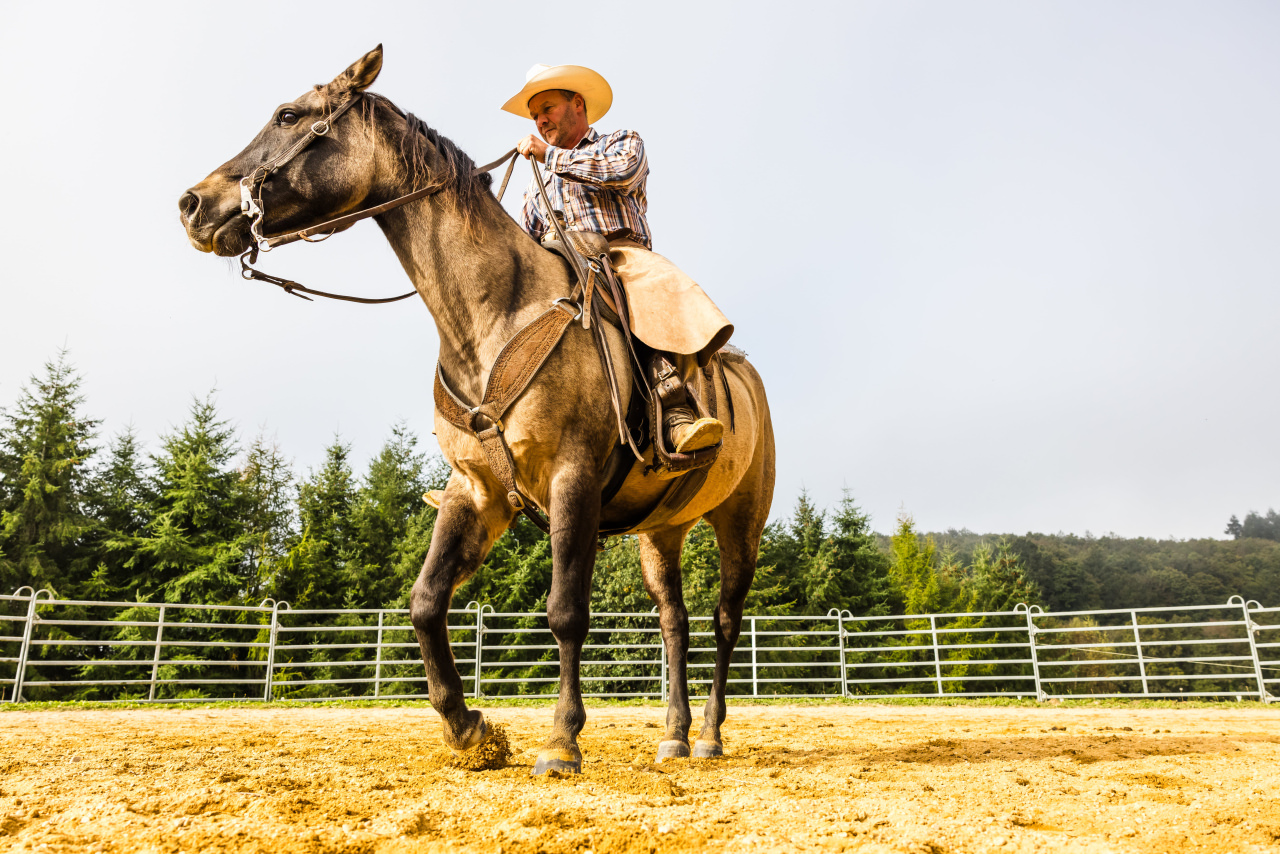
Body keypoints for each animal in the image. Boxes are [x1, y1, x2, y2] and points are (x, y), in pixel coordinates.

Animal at [177, 45, 778, 773]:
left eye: (289, 114)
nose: (192, 203)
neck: (494, 316)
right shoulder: (476, 491)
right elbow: (425, 602)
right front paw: (470, 729)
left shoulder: (572, 478)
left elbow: (565, 611)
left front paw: (560, 741)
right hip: (661, 531)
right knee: (675, 621)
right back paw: (675, 734)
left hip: (741, 521)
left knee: (724, 621)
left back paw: (712, 733)